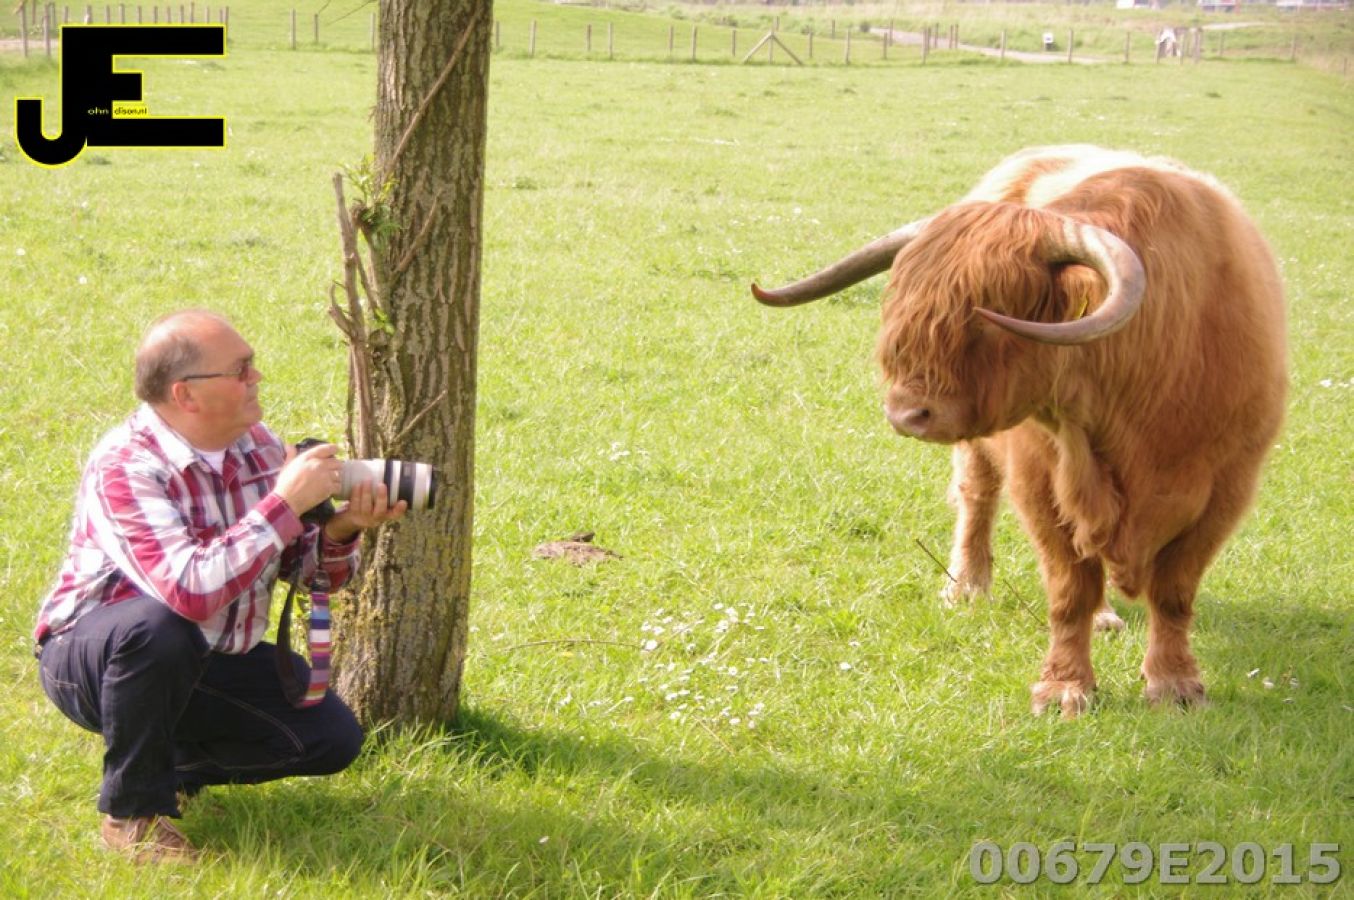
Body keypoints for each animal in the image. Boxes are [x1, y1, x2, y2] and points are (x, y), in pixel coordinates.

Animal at [751, 145, 1287, 718]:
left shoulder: (1227, 489)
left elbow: (1174, 591)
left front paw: (1175, 684)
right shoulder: (1039, 481)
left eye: (988, 316)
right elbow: (1069, 589)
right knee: (978, 499)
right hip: (983, 456)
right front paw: (1065, 687)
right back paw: (967, 586)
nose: (905, 414)